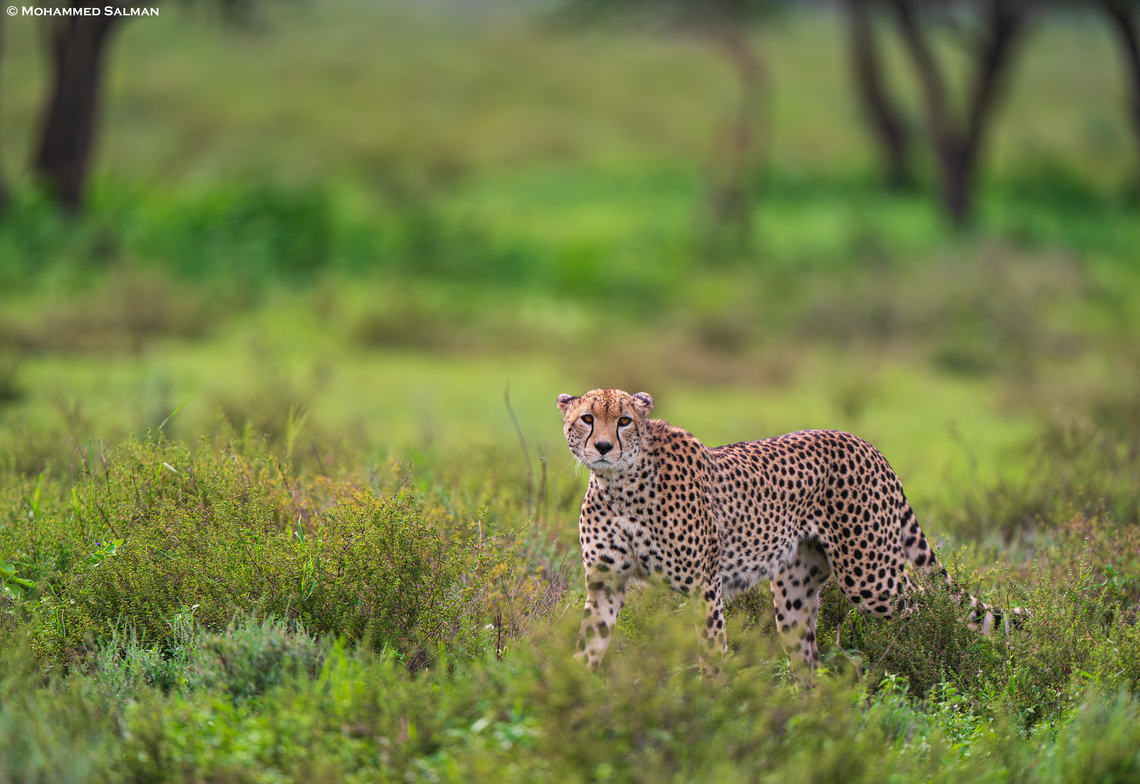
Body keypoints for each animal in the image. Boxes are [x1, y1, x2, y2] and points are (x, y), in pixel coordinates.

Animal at [557, 387, 1019, 671]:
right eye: (586, 418)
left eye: (624, 421)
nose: (603, 447)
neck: (620, 484)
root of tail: (863, 443)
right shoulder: (605, 582)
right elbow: (588, 645)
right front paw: (575, 697)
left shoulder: (703, 587)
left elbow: (711, 652)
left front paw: (711, 707)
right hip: (796, 591)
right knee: (808, 663)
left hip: (871, 578)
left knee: (931, 606)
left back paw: (952, 661)